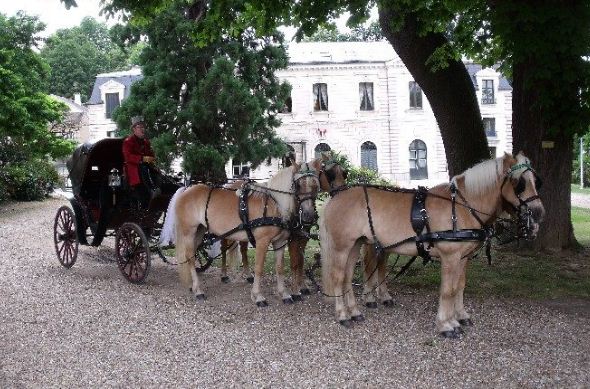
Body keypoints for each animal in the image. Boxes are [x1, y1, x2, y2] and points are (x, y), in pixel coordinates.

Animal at [175, 162, 322, 304]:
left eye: (316, 186)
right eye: (298, 185)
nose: (309, 216)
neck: (275, 204)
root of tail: (187, 190)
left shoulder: (280, 242)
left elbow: (280, 267)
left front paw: (284, 294)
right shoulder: (262, 241)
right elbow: (259, 267)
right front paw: (258, 296)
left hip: (200, 230)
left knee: (192, 254)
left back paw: (192, 285)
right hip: (189, 232)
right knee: (190, 257)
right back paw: (198, 290)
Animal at [322, 152, 548, 336]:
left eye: (536, 181)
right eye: (519, 183)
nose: (538, 213)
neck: (462, 207)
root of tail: (336, 197)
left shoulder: (463, 258)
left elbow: (459, 287)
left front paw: (459, 317)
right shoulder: (450, 257)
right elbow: (448, 290)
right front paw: (446, 325)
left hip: (355, 245)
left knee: (347, 278)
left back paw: (354, 312)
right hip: (342, 247)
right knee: (338, 277)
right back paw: (343, 315)